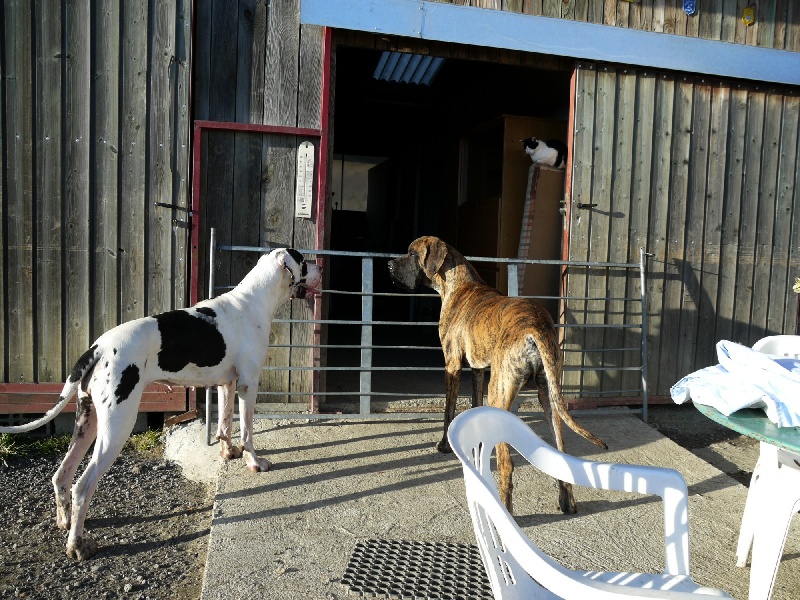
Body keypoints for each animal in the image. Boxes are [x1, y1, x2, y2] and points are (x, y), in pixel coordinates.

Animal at [0, 247, 321, 560]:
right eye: (303, 260)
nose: (322, 266)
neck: (253, 299)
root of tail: (97, 348)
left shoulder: (227, 384)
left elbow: (226, 423)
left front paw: (228, 451)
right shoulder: (248, 385)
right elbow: (248, 432)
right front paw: (254, 462)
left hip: (87, 420)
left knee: (61, 475)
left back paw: (65, 523)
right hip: (117, 426)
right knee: (82, 486)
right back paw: (77, 545)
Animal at [388, 236, 605, 514]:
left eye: (412, 254)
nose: (389, 265)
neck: (459, 283)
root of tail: (535, 328)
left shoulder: (452, 365)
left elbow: (448, 410)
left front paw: (444, 445)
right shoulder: (478, 369)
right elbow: (474, 403)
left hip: (500, 392)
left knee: (507, 464)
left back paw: (505, 508)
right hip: (548, 397)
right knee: (561, 450)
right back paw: (566, 501)